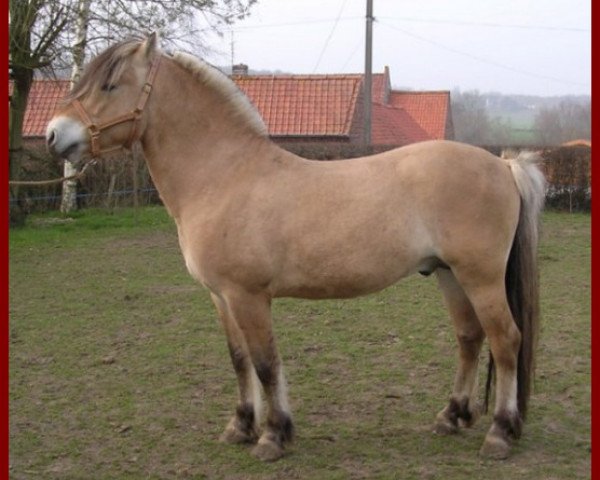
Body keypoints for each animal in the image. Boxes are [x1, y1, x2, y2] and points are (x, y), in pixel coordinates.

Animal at [45, 33, 544, 462]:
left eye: (110, 84)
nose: (54, 134)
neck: (224, 176)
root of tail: (503, 166)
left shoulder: (248, 296)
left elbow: (266, 363)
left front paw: (273, 436)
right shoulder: (221, 297)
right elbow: (240, 360)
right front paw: (241, 427)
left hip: (480, 278)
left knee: (506, 340)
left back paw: (500, 432)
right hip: (448, 274)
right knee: (470, 338)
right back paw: (452, 416)